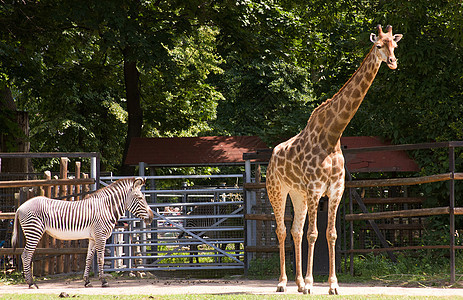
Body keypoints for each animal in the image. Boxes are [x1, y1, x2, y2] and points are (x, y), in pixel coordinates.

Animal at [11, 178, 154, 288]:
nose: (152, 217)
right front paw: (103, 281)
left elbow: (89, 259)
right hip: (34, 231)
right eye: (140, 198)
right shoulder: (101, 236)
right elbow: (101, 259)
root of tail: (20, 207)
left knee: (26, 255)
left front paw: (87, 281)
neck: (106, 208)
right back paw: (31, 283)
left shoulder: (93, 238)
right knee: (26, 255)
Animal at [266, 24, 404, 294]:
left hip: (297, 194)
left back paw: (297, 283)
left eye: (394, 45)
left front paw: (332, 285)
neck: (332, 134)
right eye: (378, 46)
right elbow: (313, 233)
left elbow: (330, 234)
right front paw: (312, 284)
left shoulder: (336, 189)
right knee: (282, 230)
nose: (392, 62)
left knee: (295, 231)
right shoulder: (315, 188)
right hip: (277, 190)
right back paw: (282, 283)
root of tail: (271, 156)